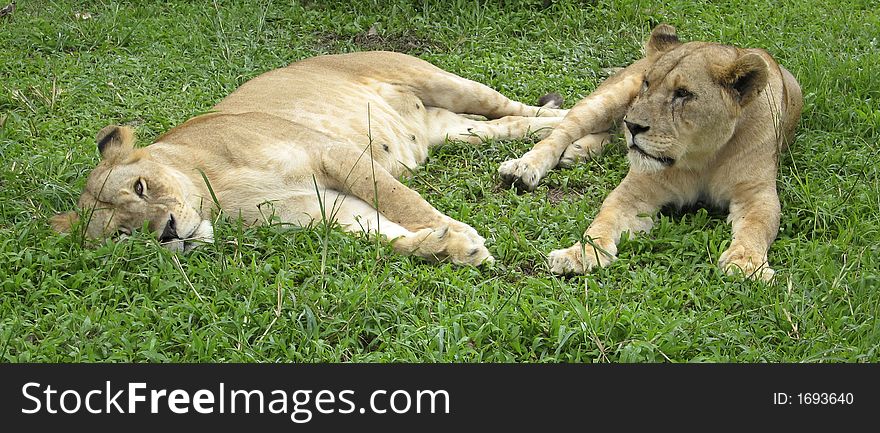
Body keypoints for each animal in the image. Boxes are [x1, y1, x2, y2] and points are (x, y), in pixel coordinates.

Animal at [49, 52, 572, 264]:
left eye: (141, 187)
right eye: (122, 235)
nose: (168, 234)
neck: (214, 197)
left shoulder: (335, 154)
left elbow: (402, 202)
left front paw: (454, 229)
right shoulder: (320, 211)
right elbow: (384, 236)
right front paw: (451, 247)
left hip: (443, 81)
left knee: (521, 107)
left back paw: (573, 129)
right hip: (455, 129)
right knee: (510, 126)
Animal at [498, 24, 800, 280]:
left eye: (683, 93)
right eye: (647, 83)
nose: (633, 125)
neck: (701, 156)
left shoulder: (756, 193)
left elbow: (757, 225)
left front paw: (746, 263)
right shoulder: (637, 190)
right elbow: (604, 219)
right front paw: (579, 254)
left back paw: (580, 150)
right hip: (608, 98)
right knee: (559, 133)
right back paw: (523, 168)